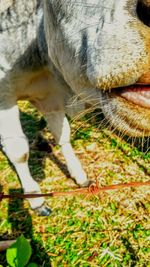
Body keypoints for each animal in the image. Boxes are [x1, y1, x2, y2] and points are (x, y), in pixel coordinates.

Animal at [0, 0, 150, 216]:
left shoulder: (50, 98)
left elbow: (63, 135)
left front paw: (79, 174)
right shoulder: (5, 97)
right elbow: (19, 152)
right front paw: (36, 199)